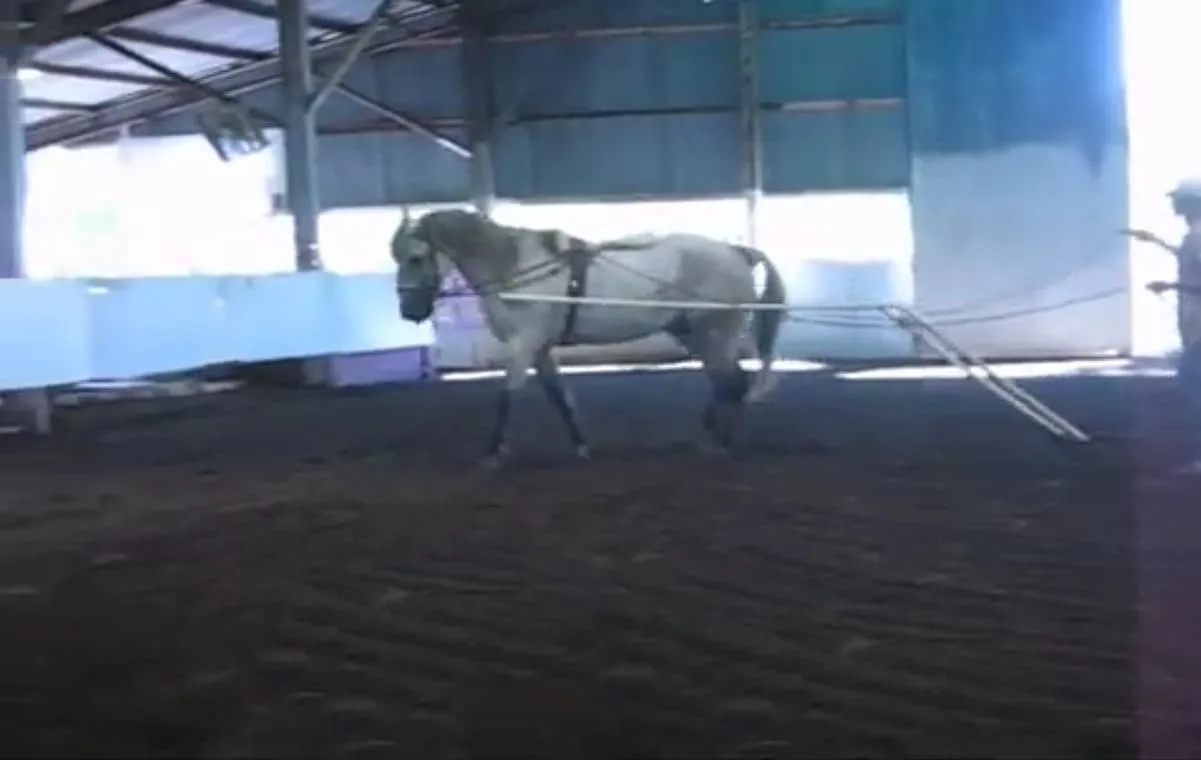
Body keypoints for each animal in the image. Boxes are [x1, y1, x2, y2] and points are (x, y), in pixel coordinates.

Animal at [393, 204, 787, 463]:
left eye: (415, 257)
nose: (410, 312)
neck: (516, 268)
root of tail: (736, 252)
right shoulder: (541, 347)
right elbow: (559, 396)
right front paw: (581, 445)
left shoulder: (525, 343)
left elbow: (507, 394)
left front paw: (494, 451)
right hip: (695, 333)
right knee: (726, 382)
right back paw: (710, 435)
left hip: (714, 332)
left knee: (732, 383)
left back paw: (719, 442)